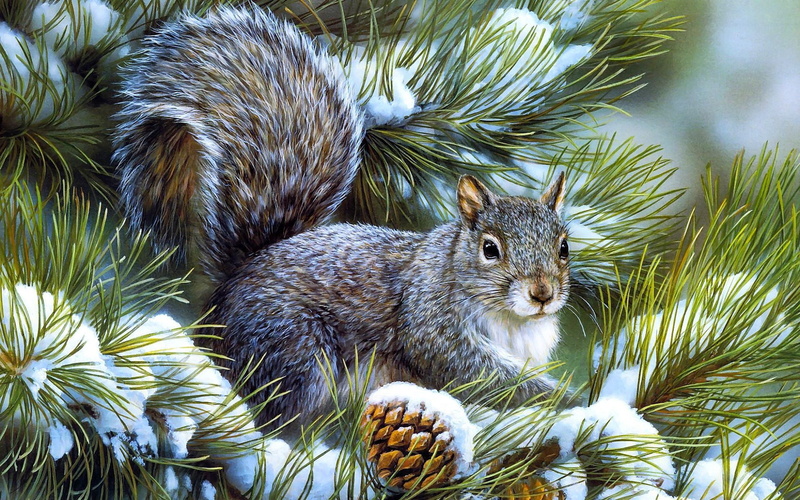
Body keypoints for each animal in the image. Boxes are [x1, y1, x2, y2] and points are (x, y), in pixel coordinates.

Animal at [113, 6, 571, 435]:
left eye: (564, 247)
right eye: (490, 249)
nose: (542, 293)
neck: (512, 320)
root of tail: (227, 291)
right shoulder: (431, 324)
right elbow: (476, 373)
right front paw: (558, 398)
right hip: (293, 349)